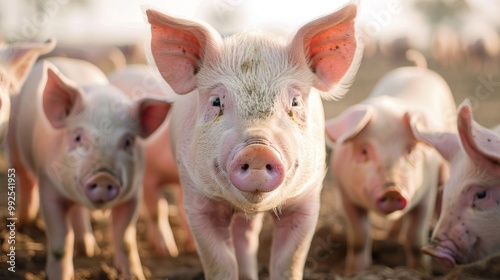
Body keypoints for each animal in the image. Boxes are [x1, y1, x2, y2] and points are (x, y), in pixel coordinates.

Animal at [6, 55, 171, 278]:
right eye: (78, 138)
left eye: (128, 141)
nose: (103, 176)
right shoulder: (48, 187)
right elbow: (60, 243)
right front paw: (60, 276)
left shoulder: (133, 194)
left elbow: (126, 240)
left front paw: (135, 275)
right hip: (14, 146)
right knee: (24, 177)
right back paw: (22, 221)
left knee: (78, 210)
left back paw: (88, 250)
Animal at [145, 1, 364, 278]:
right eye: (216, 102)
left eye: (295, 102)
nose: (258, 150)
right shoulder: (196, 197)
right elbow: (220, 263)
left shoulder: (307, 199)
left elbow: (288, 262)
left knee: (246, 235)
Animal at [324, 64, 458, 274]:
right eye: (364, 151)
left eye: (410, 150)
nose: (392, 190)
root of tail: (418, 68)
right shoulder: (345, 195)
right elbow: (359, 237)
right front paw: (355, 272)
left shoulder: (425, 194)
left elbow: (415, 237)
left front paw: (420, 272)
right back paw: (391, 237)